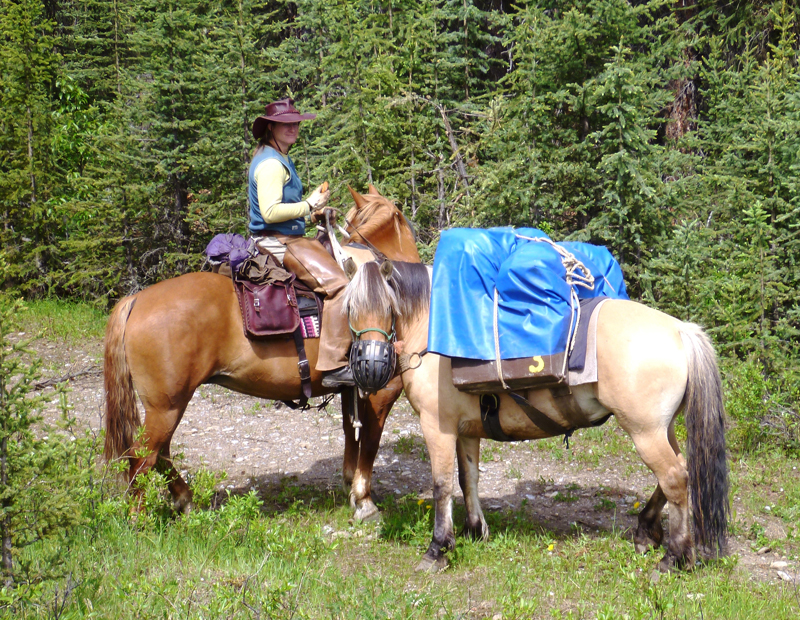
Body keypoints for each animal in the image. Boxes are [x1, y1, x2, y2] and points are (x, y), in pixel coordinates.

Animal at [103, 185, 419, 521]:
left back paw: (185, 500)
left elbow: (351, 433)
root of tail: (136, 299)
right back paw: (139, 519)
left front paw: (350, 488)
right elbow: (370, 442)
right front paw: (365, 500)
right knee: (142, 457)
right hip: (167, 405)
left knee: (159, 454)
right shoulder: (382, 389)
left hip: (167, 405)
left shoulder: (351, 389)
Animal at [341, 258, 729, 573]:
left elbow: (441, 486)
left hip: (644, 431)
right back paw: (648, 533)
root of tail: (680, 330)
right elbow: (469, 479)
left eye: (387, 305)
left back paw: (674, 557)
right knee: (679, 473)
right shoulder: (466, 430)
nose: (370, 366)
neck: (436, 336)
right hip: (661, 429)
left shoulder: (438, 427)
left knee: (675, 479)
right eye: (349, 308)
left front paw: (438, 549)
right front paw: (475, 530)